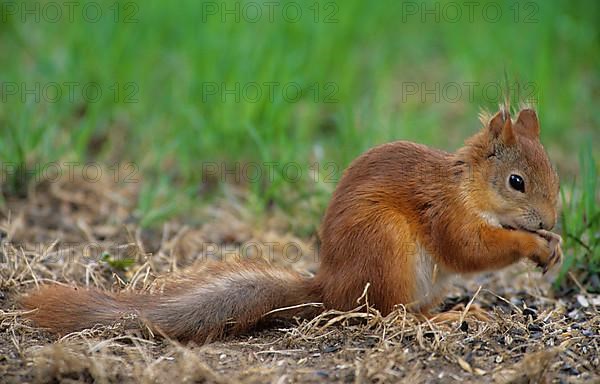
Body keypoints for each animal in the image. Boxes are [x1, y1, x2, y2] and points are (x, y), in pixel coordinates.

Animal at [19, 106, 564, 342]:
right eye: (516, 182)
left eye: (555, 174)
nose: (552, 219)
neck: (468, 186)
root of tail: (330, 288)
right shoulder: (444, 213)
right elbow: (471, 248)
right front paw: (535, 246)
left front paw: (554, 243)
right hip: (387, 250)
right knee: (386, 314)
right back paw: (446, 319)